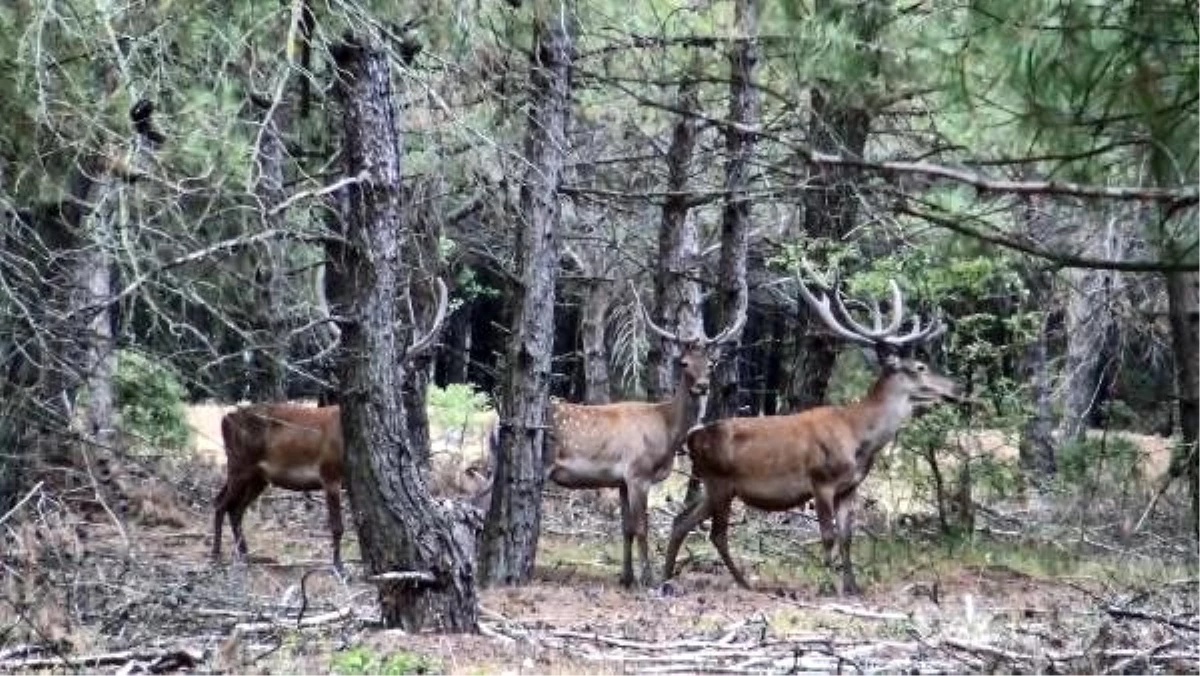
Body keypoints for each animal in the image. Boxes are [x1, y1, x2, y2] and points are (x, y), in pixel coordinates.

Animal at [210, 280, 463, 571]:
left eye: (403, 372)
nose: (394, 391)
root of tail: (225, 419)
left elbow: (359, 526)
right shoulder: (328, 473)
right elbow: (337, 526)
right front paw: (338, 566)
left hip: (258, 476)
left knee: (235, 508)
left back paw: (246, 555)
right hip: (239, 463)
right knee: (220, 503)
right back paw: (216, 555)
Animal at [542, 288, 744, 590]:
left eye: (711, 363)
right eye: (684, 363)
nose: (702, 386)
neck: (666, 431)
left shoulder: (621, 481)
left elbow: (625, 528)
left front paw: (626, 577)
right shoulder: (638, 473)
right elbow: (641, 527)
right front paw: (646, 578)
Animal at [662, 274, 960, 593]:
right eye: (920, 367)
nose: (955, 388)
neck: (859, 437)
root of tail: (693, 438)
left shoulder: (850, 488)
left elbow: (846, 537)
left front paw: (852, 586)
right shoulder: (821, 481)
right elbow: (827, 536)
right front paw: (826, 585)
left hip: (712, 486)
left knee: (681, 521)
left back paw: (664, 577)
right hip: (720, 482)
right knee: (716, 533)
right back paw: (742, 583)